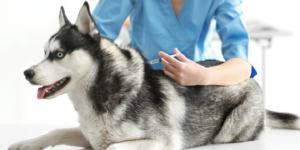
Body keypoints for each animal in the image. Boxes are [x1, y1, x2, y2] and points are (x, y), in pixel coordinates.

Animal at [8, 2, 300, 150]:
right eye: (44, 53)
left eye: (59, 54)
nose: (26, 73)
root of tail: (249, 74)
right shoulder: (93, 136)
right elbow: (56, 130)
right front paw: (25, 144)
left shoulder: (160, 141)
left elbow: (112, 148)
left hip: (229, 132)